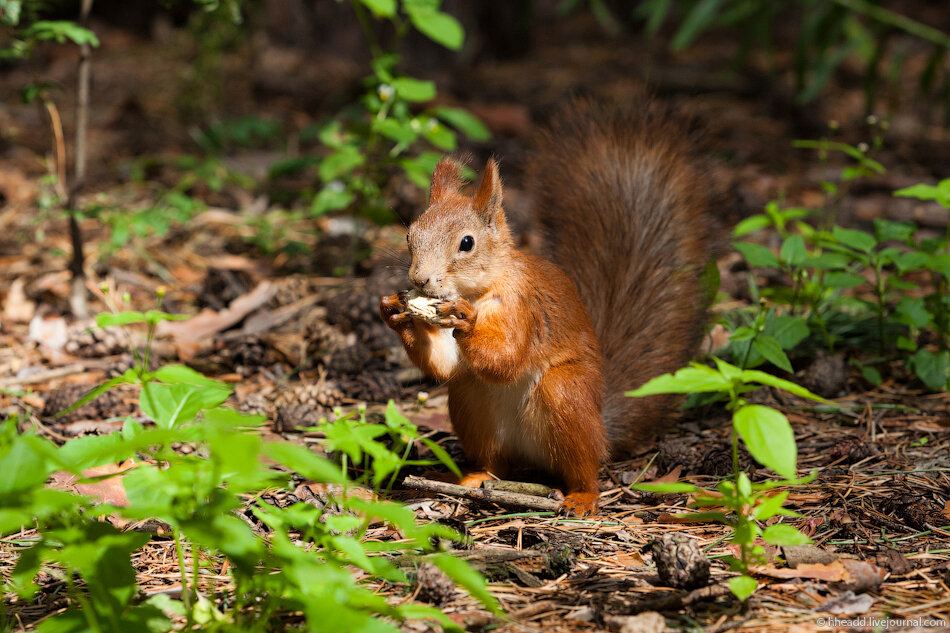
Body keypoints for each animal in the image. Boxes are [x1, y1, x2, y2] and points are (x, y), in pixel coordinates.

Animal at [380, 99, 712, 512]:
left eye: (467, 243)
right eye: (411, 235)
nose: (420, 280)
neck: (481, 289)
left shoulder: (524, 308)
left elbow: (506, 360)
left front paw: (467, 320)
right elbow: (445, 367)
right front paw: (395, 314)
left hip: (566, 396)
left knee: (585, 469)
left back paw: (582, 496)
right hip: (471, 402)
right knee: (491, 452)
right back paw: (473, 477)